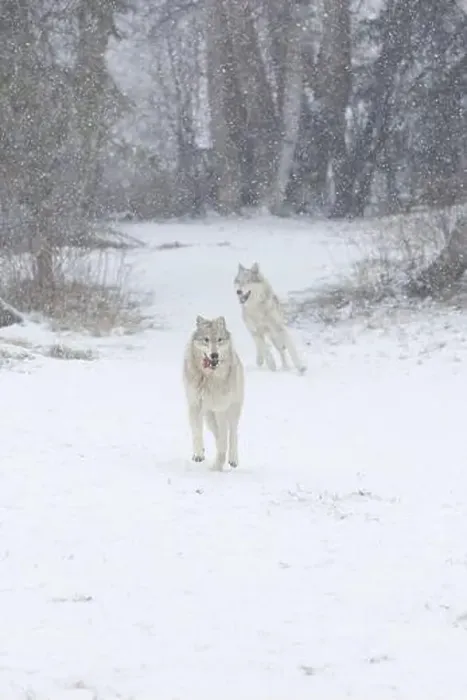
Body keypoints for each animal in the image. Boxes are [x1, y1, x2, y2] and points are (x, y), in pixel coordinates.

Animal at [183, 315, 244, 471]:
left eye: (219, 340)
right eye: (206, 339)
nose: (214, 354)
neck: (208, 377)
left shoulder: (220, 409)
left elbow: (225, 438)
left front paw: (218, 464)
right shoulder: (194, 405)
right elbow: (196, 432)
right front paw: (198, 454)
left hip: (232, 411)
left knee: (232, 433)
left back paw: (232, 459)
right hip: (209, 417)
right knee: (218, 436)